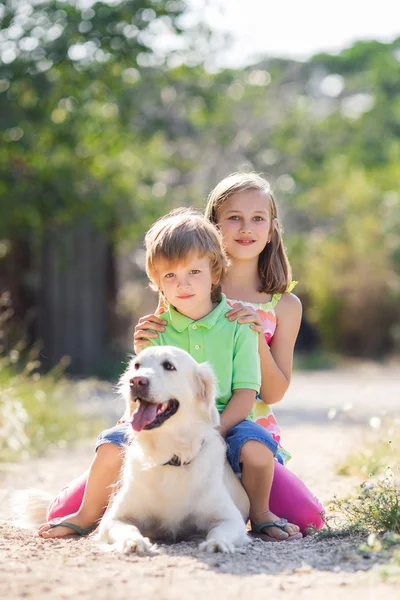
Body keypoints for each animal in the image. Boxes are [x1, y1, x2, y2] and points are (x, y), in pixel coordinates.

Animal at [98, 344, 248, 556]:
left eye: (169, 366)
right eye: (137, 366)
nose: (136, 381)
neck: (169, 454)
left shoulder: (230, 518)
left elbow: (220, 531)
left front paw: (217, 544)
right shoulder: (114, 518)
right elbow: (126, 528)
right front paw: (133, 542)